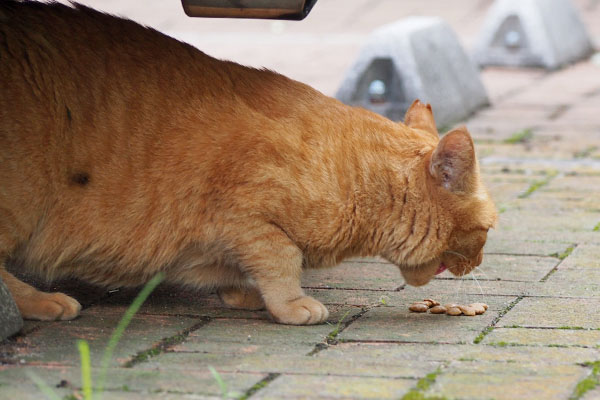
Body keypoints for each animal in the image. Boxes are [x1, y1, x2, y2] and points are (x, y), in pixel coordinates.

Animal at [0, 0, 496, 324]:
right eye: (488, 231)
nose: (478, 264)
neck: (356, 179)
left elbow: (241, 270)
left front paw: (244, 293)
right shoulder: (243, 213)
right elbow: (281, 257)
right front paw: (291, 303)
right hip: (21, 203)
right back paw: (42, 304)